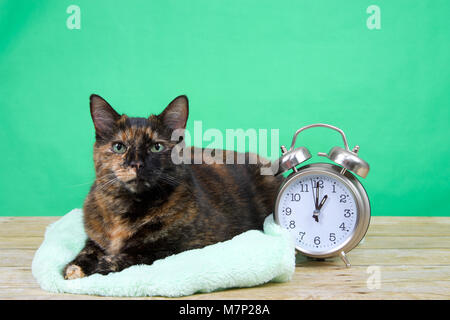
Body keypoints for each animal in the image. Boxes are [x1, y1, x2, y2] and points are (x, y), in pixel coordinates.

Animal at [63, 94, 282, 280]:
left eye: (156, 147)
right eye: (119, 147)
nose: (136, 164)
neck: (125, 211)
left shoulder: (187, 246)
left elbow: (136, 255)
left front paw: (99, 266)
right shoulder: (94, 237)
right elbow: (87, 249)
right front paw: (75, 267)